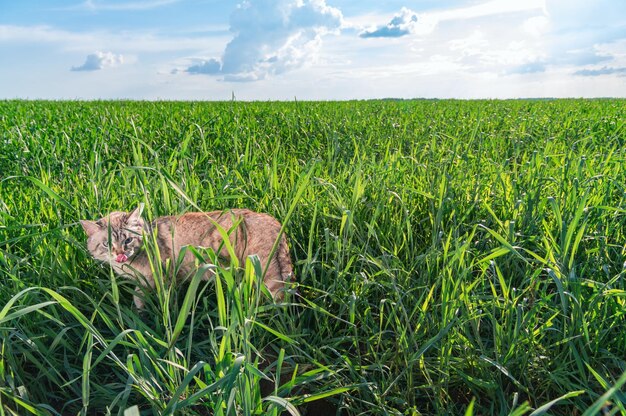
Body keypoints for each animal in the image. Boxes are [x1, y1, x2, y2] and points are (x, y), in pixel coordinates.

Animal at [79, 206, 292, 308]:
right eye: (107, 244)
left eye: (128, 240)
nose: (120, 254)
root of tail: (275, 222)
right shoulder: (142, 281)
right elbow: (138, 297)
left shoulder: (165, 277)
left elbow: (166, 302)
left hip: (267, 274)